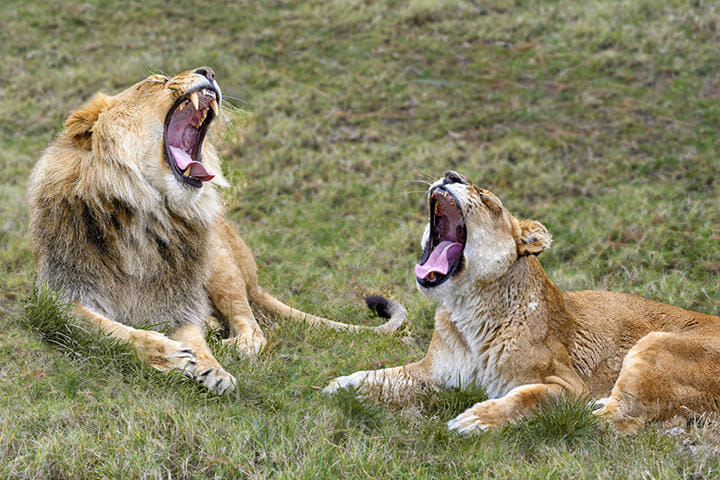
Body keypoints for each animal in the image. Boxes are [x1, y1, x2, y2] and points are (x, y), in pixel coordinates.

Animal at [28, 68, 404, 398]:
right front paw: (170, 355)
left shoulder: (179, 303)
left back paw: (237, 342)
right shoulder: (59, 301)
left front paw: (212, 369)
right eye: (156, 82)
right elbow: (115, 332)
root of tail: (255, 278)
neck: (144, 213)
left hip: (219, 262)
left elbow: (195, 339)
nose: (207, 71)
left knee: (251, 322)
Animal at [324, 172, 720, 432]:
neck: (467, 308)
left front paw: (475, 419)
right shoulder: (435, 372)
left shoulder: (568, 384)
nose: (451, 174)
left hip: (655, 344)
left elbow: (530, 397)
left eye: (489, 202)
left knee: (615, 420)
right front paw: (340, 385)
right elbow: (387, 376)